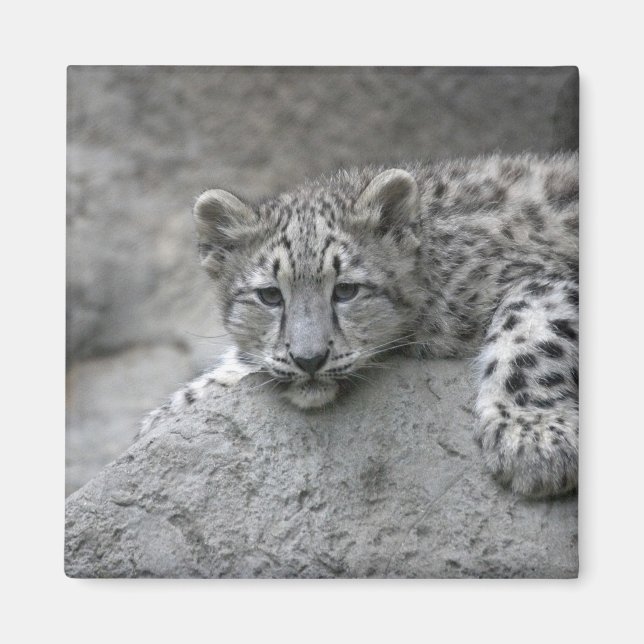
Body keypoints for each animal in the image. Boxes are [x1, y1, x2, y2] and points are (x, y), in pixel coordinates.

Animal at [140, 152, 579, 498]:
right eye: (270, 296)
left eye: (346, 290)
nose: (309, 359)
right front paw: (161, 419)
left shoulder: (544, 276)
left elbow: (530, 331)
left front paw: (533, 441)